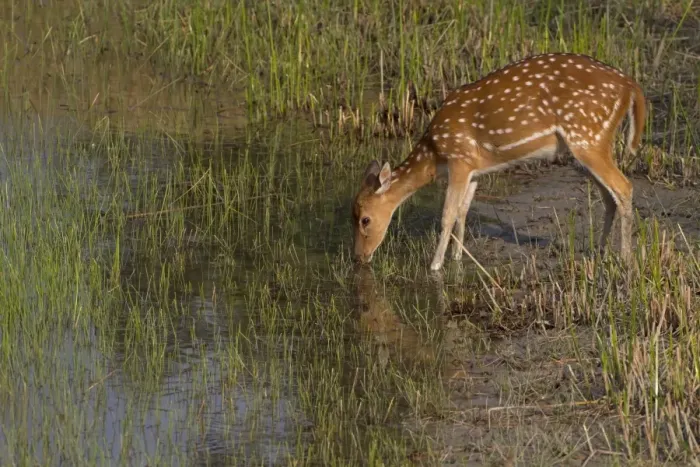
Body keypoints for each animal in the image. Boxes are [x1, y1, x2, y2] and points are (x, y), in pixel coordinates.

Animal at [352, 53, 646, 271]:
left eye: (365, 219)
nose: (359, 256)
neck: (434, 155)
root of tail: (631, 87)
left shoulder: (459, 158)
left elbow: (447, 214)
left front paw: (435, 266)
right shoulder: (474, 168)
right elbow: (462, 212)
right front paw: (457, 258)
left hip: (587, 136)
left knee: (624, 187)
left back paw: (625, 259)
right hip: (591, 143)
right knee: (609, 196)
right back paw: (601, 251)